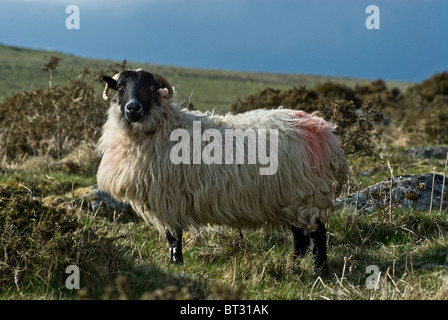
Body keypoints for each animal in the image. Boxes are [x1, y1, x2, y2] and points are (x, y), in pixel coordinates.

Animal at [98, 69, 350, 274]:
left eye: (150, 88)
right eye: (120, 88)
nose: (133, 108)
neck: (161, 126)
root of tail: (324, 132)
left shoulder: (167, 196)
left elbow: (173, 237)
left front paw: (176, 264)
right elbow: (173, 237)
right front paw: (176, 263)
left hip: (306, 193)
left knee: (317, 233)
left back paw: (319, 271)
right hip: (290, 196)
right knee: (300, 237)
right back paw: (293, 264)